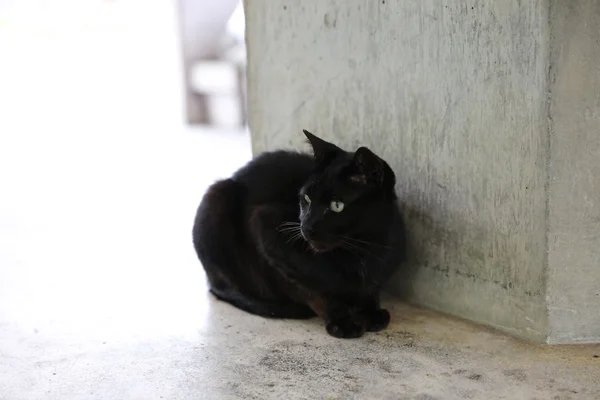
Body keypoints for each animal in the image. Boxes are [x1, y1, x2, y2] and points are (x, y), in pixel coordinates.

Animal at [195, 130, 406, 338]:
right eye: (306, 198)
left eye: (337, 205)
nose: (306, 226)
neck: (361, 251)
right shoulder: (267, 233)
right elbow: (316, 292)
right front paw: (342, 321)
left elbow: (371, 288)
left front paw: (371, 313)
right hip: (216, 197)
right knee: (223, 287)